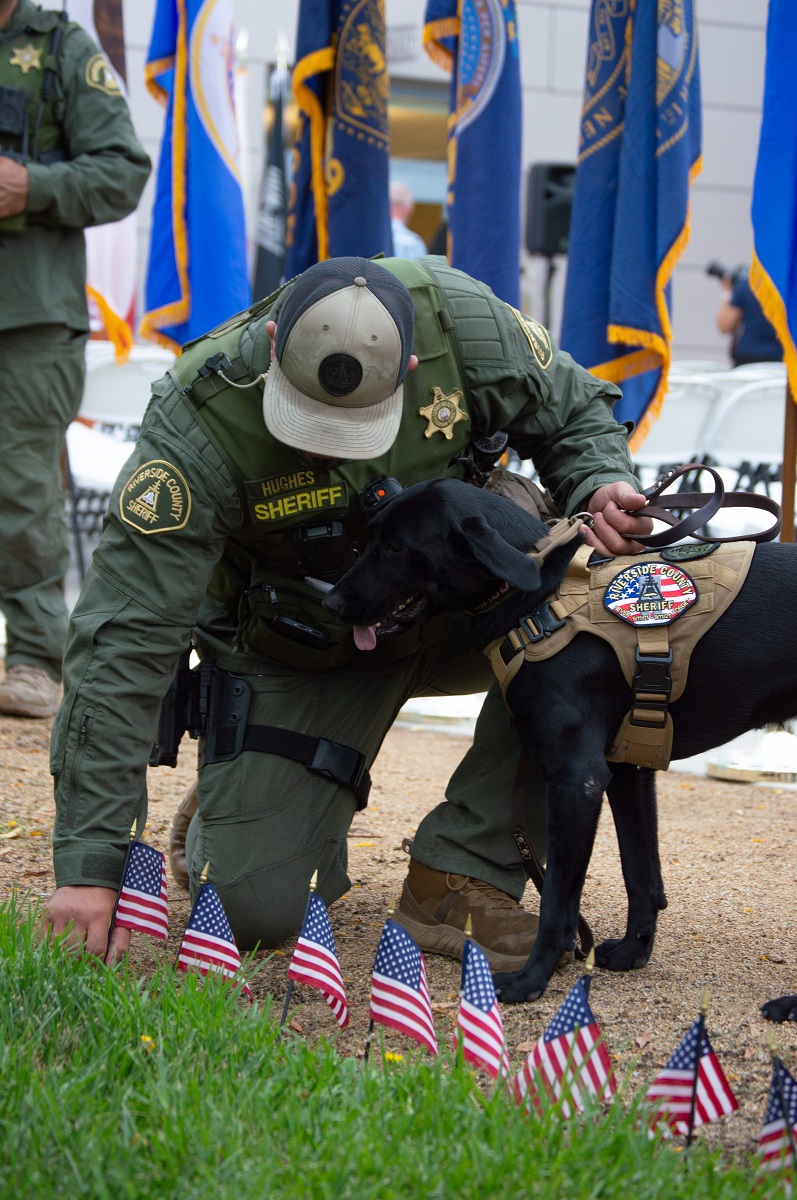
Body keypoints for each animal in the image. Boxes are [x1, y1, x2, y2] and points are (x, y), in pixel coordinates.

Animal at [324, 477, 797, 1003]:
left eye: (396, 547)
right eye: (371, 539)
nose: (331, 604)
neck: (540, 597)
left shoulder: (577, 779)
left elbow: (557, 902)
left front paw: (532, 979)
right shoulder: (627, 771)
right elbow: (641, 875)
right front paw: (633, 953)